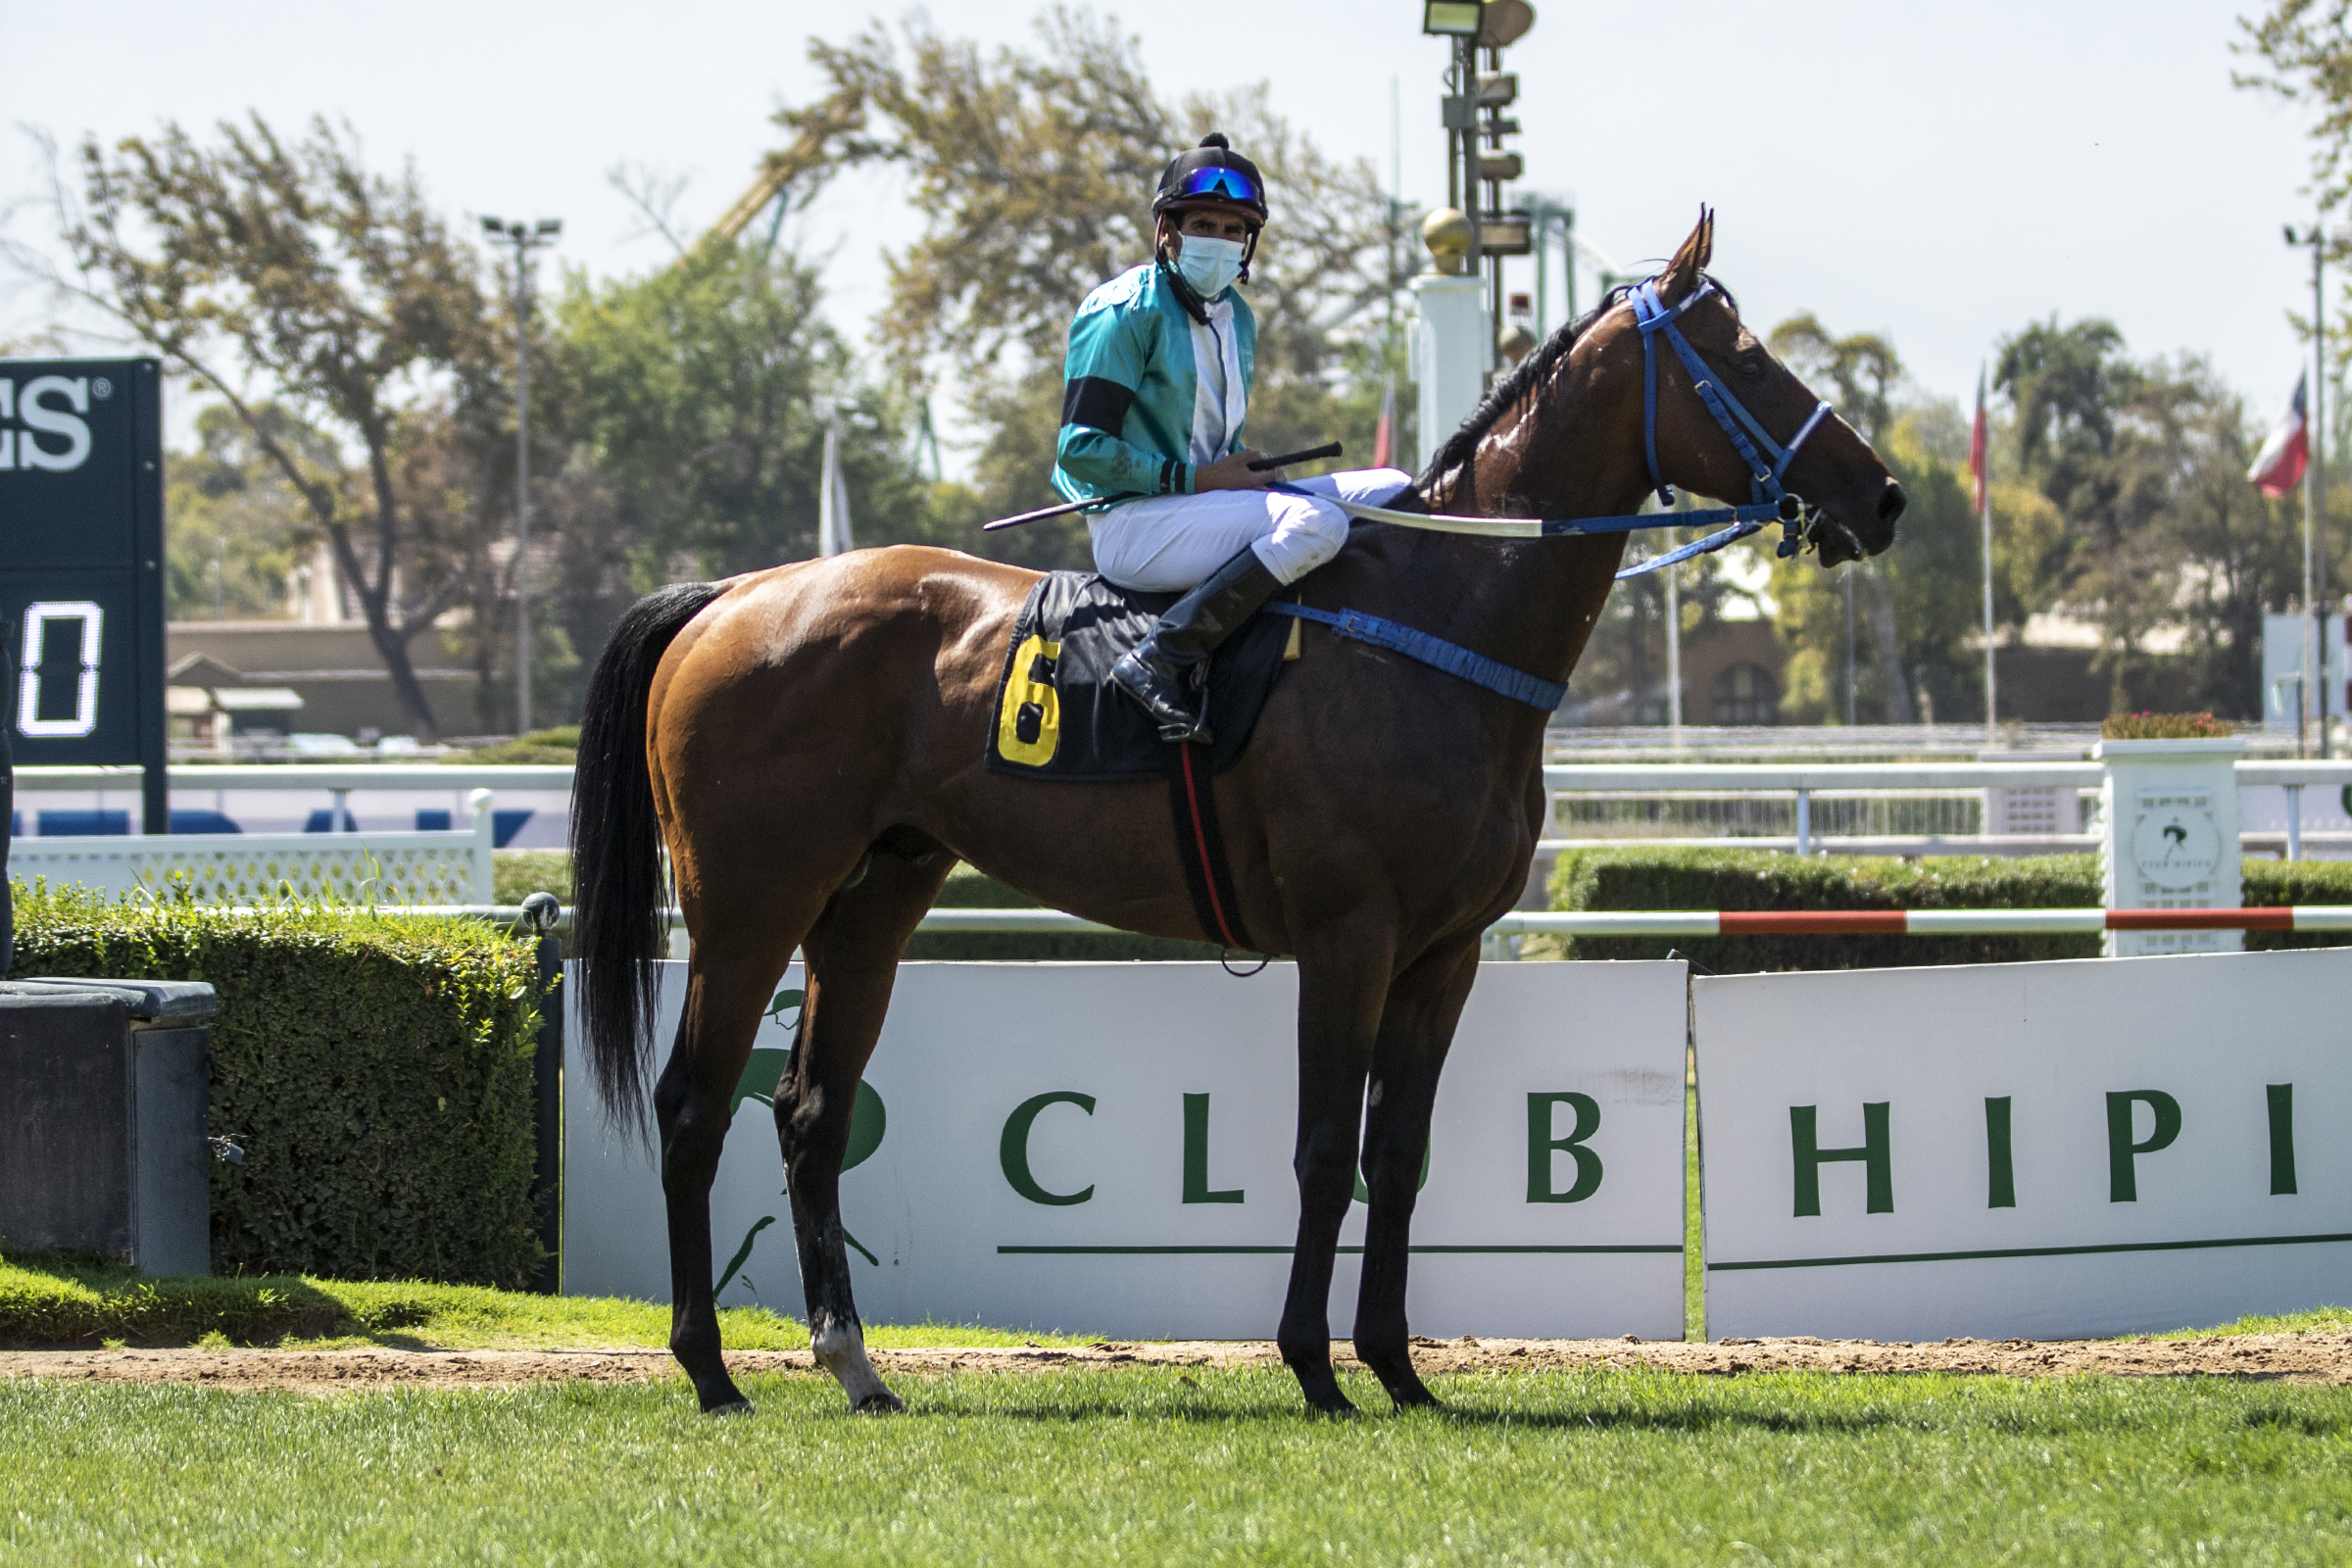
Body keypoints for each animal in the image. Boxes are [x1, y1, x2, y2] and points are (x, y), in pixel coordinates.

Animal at [571, 211, 1906, 1417]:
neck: (1441, 620)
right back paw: (708, 1368)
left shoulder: (1446, 953)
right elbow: (1322, 1155)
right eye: (1746, 358)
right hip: (749, 906)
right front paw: (1315, 1367)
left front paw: (1400, 1369)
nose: (1885, 494)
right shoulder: (1349, 934)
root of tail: (733, 594)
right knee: (693, 1106)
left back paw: (855, 1364)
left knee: (810, 1114)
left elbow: (1397, 1158)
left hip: (872, 903)